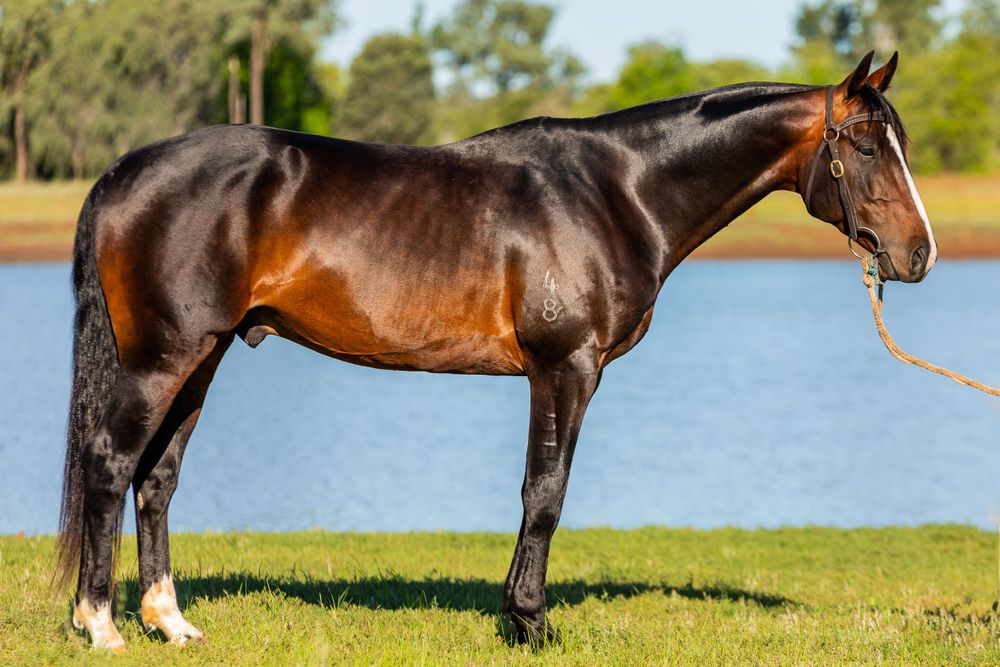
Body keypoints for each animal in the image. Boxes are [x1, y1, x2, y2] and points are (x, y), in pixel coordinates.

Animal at [57, 50, 935, 650]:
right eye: (864, 147)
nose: (919, 253)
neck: (619, 191)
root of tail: (124, 170)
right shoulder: (564, 367)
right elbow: (544, 493)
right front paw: (529, 621)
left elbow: (541, 493)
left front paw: (518, 613)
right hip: (162, 357)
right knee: (110, 463)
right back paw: (100, 624)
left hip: (202, 358)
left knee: (158, 478)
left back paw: (171, 622)